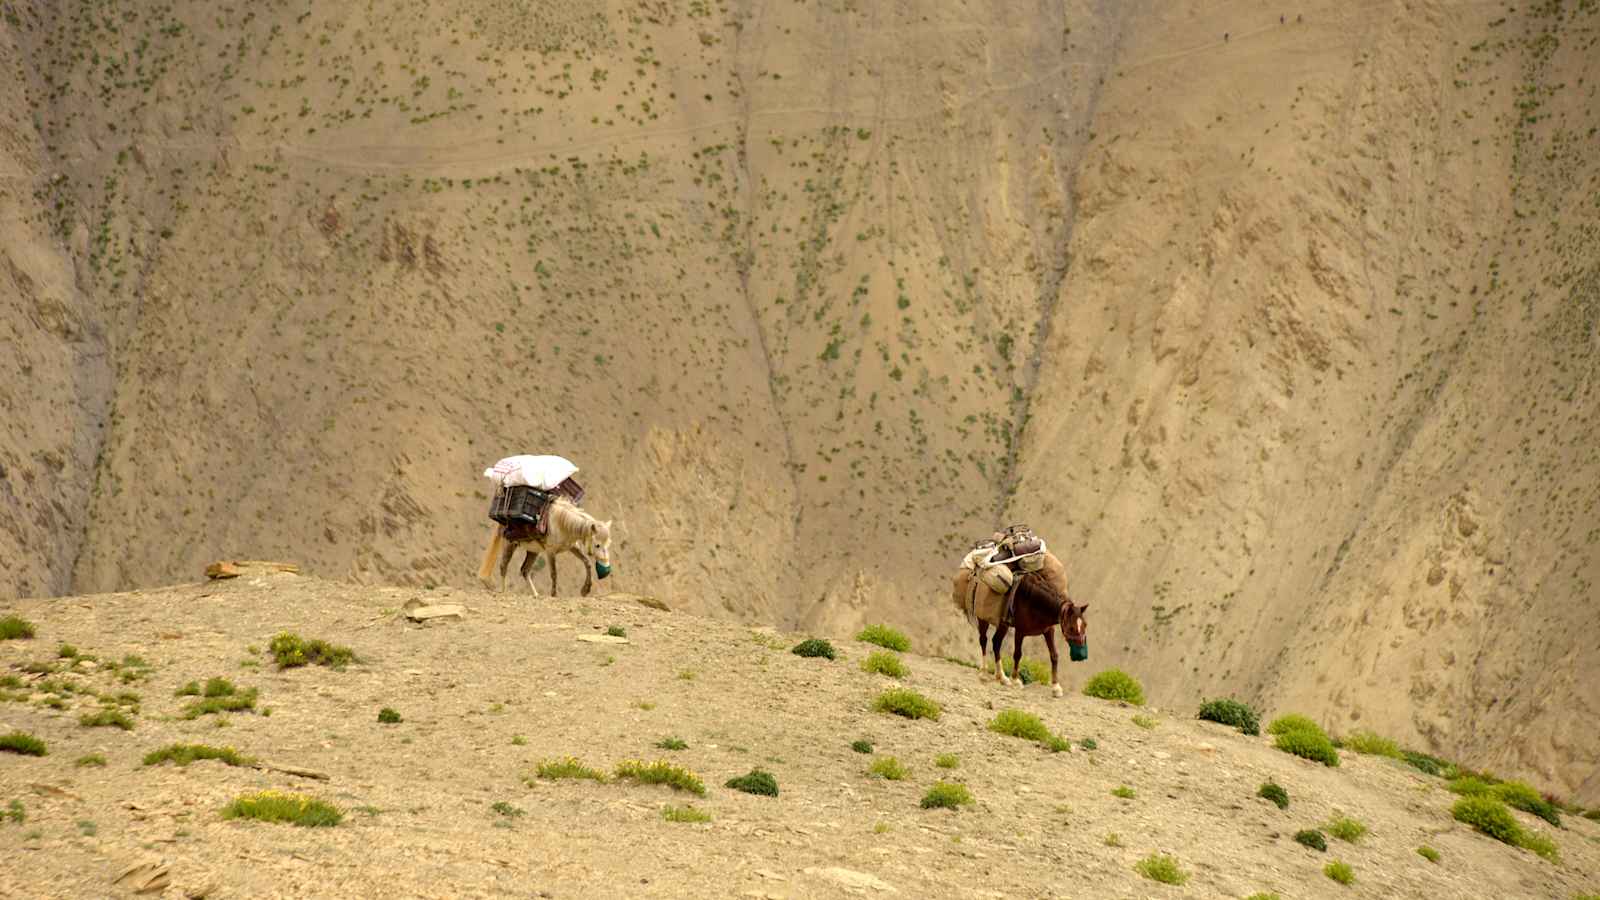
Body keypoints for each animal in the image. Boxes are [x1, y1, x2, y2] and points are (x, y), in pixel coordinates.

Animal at [947, 550, 1088, 698]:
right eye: (1071, 628)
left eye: (1085, 625)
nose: (1081, 656)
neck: (1034, 602)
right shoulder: (1020, 631)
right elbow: (1017, 654)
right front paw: (1015, 680)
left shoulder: (1048, 631)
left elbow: (1054, 655)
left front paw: (1056, 687)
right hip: (984, 619)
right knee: (985, 641)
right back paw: (987, 674)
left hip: (1002, 624)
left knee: (995, 643)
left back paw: (1000, 676)